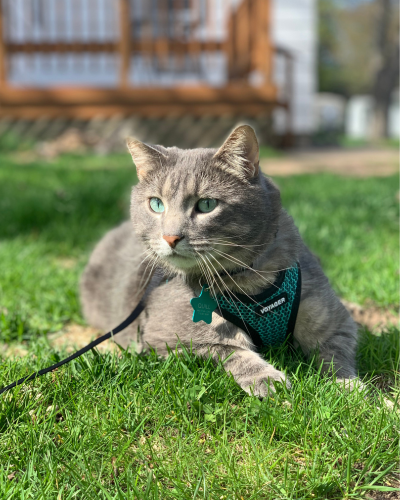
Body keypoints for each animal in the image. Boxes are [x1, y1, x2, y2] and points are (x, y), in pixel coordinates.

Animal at [79, 124, 358, 394]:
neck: (249, 280)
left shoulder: (336, 323)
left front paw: (347, 387)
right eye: (156, 204)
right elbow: (228, 350)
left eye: (206, 204)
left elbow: (335, 356)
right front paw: (267, 379)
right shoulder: (164, 340)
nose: (170, 236)